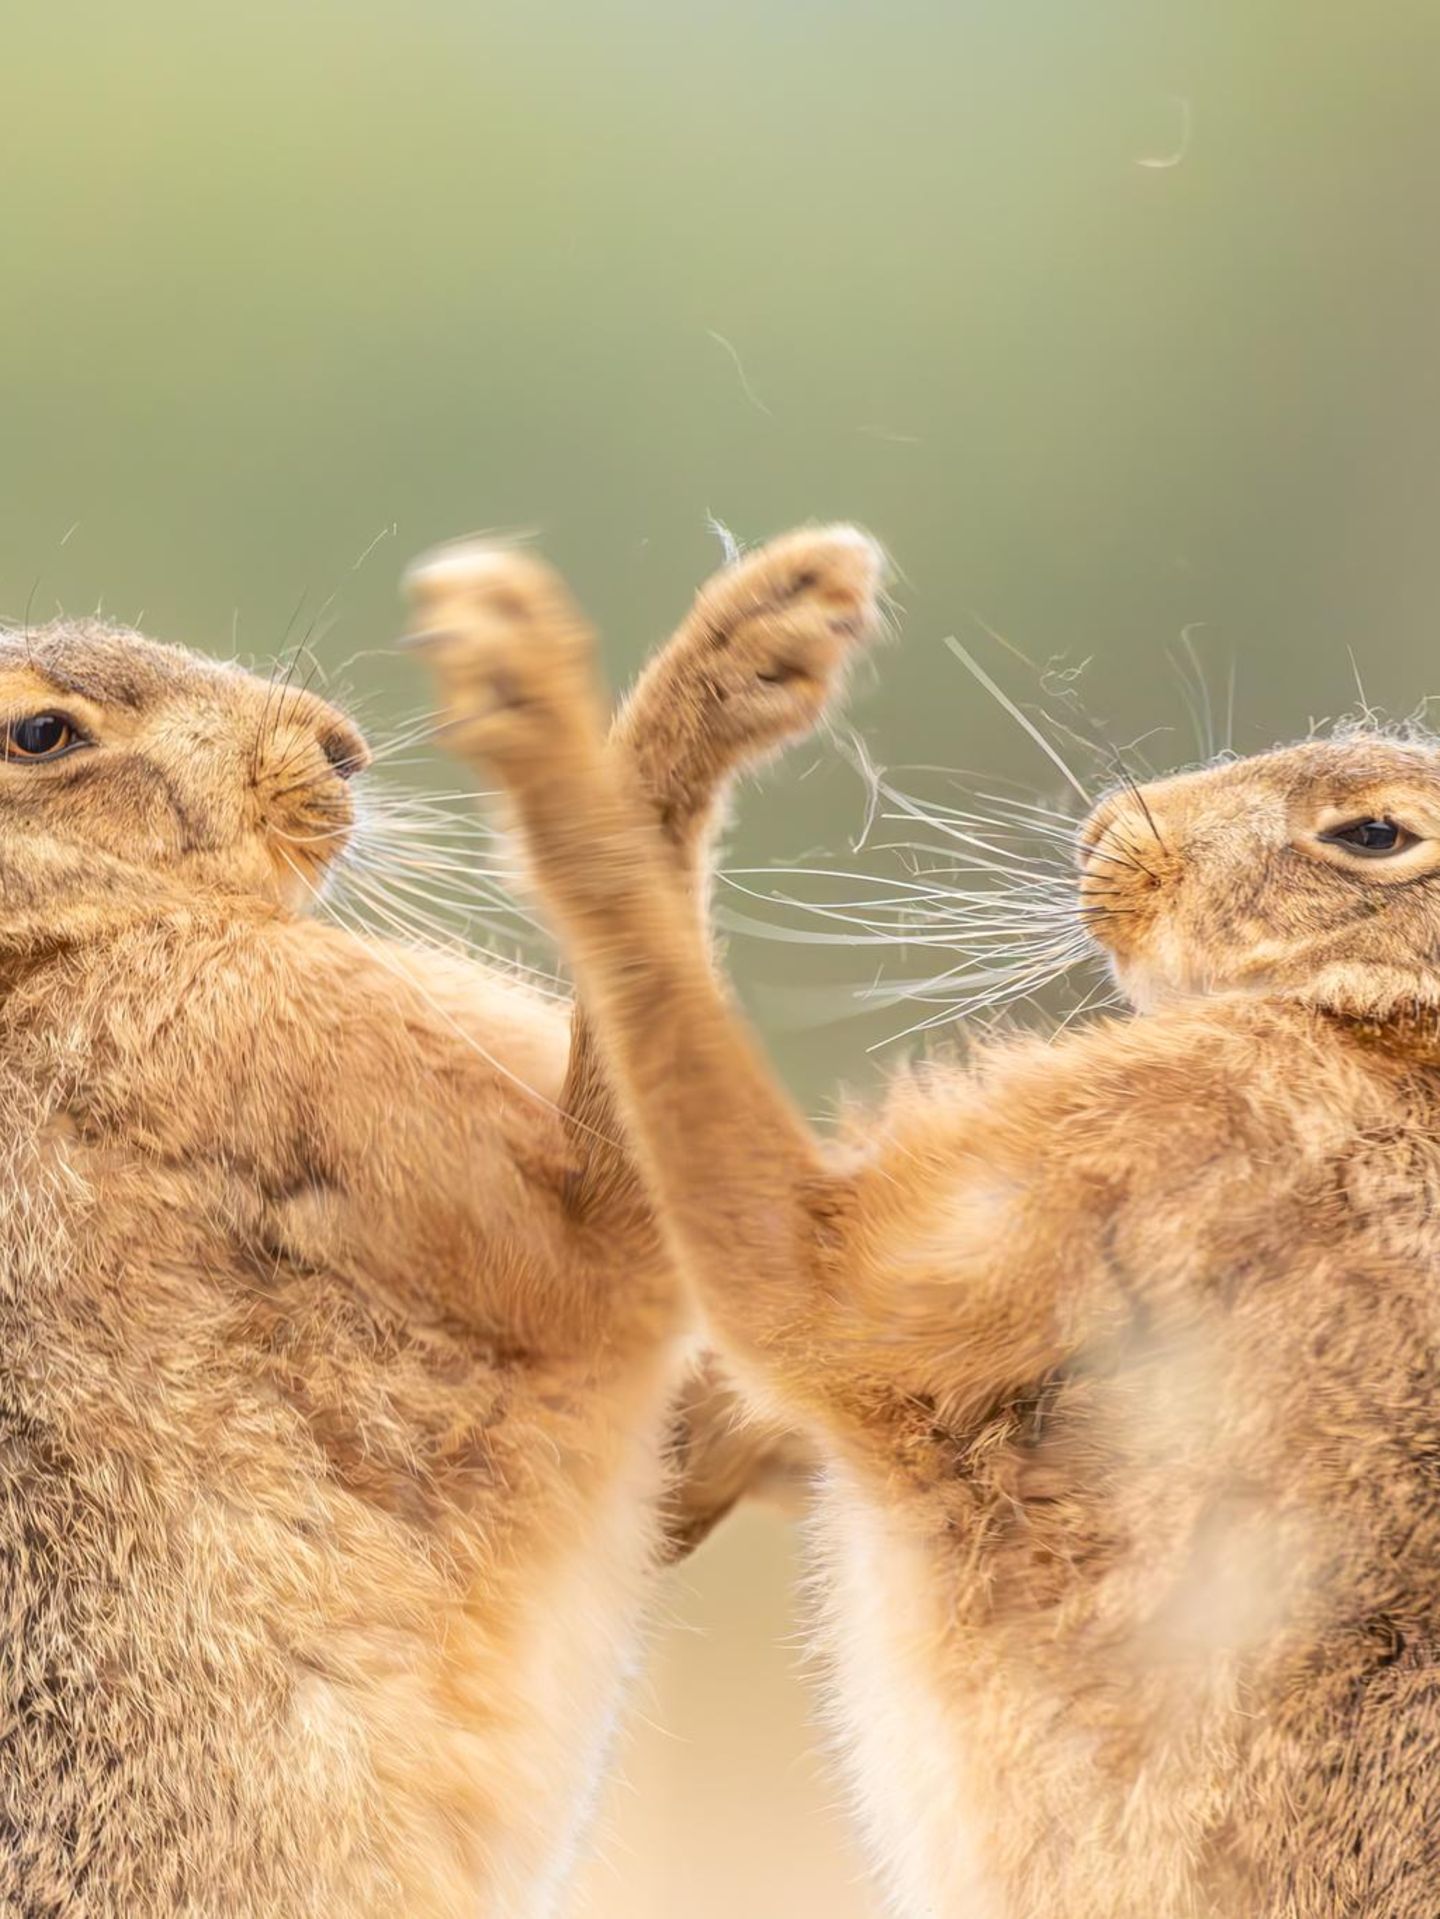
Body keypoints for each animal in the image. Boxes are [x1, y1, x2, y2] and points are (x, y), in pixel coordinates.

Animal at [411, 535, 1440, 1919]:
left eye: (1374, 833)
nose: (1105, 834)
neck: (1400, 1032)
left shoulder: (1170, 1131)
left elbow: (806, 1269)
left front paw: (546, 690)